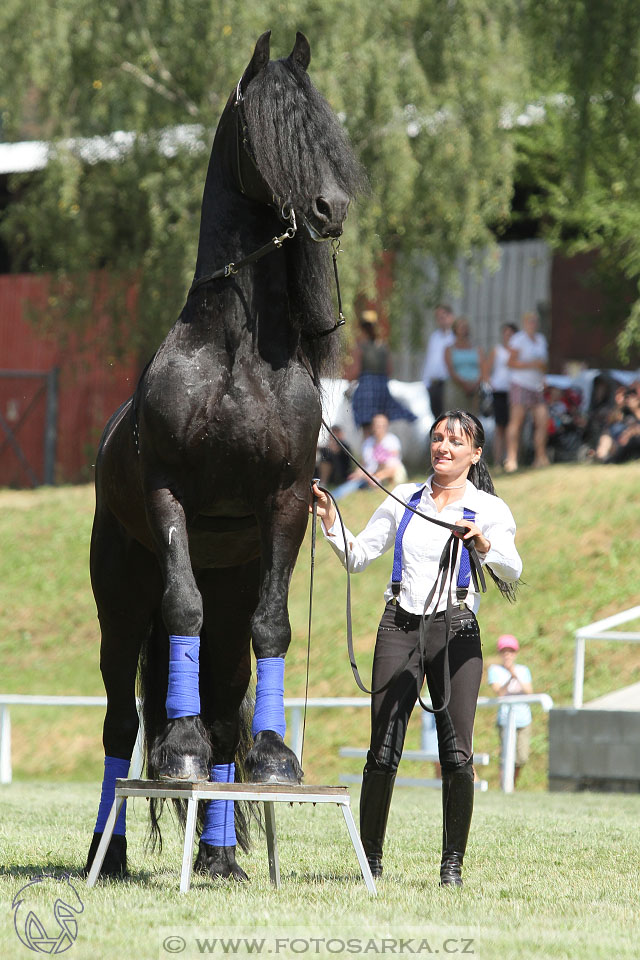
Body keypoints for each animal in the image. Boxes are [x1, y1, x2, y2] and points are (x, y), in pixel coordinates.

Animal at [85, 30, 364, 880]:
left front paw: (275, 759)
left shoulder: (284, 505)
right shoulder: (170, 495)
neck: (235, 349)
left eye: (323, 125)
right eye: (266, 127)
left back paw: (217, 856)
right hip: (120, 597)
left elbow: (274, 632)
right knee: (119, 722)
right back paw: (109, 850)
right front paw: (176, 754)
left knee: (223, 693)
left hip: (233, 584)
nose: (330, 208)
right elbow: (181, 609)